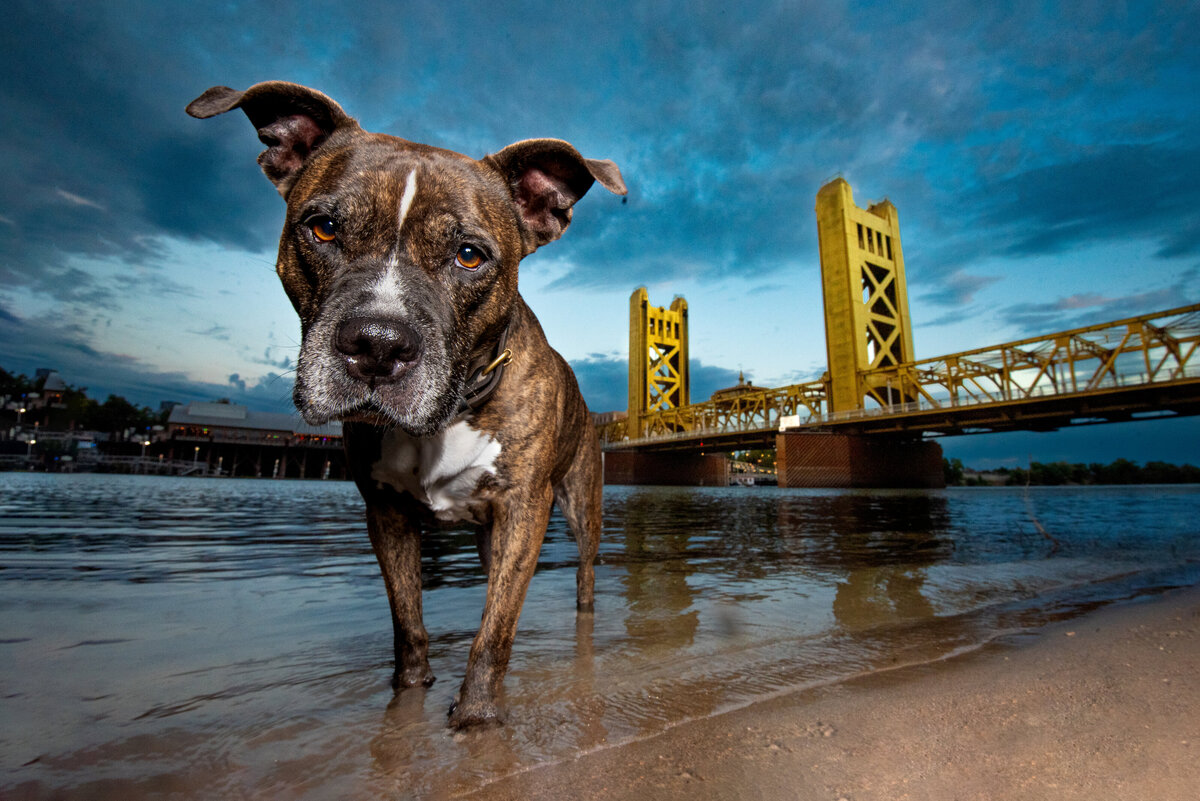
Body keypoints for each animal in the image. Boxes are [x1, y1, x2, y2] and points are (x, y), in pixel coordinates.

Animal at [184, 79, 628, 724]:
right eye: (323, 228)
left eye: (470, 255)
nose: (377, 343)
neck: (450, 413)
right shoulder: (386, 511)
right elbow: (408, 620)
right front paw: (409, 689)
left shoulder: (525, 509)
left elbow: (493, 633)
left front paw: (477, 715)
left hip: (579, 507)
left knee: (585, 579)